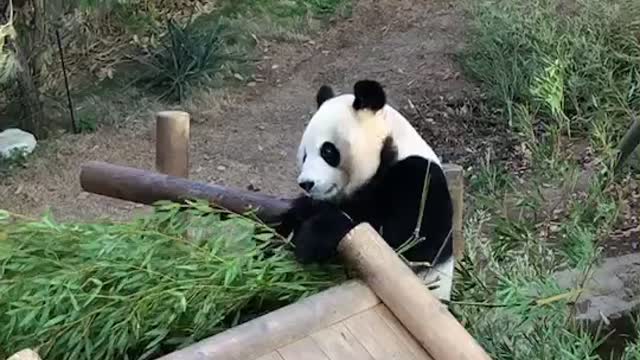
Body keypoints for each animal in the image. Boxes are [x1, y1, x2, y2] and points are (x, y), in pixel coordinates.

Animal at [276, 80, 456, 302]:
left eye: (327, 151)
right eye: (304, 155)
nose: (306, 183)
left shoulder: (419, 178)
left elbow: (405, 242)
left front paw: (310, 239)